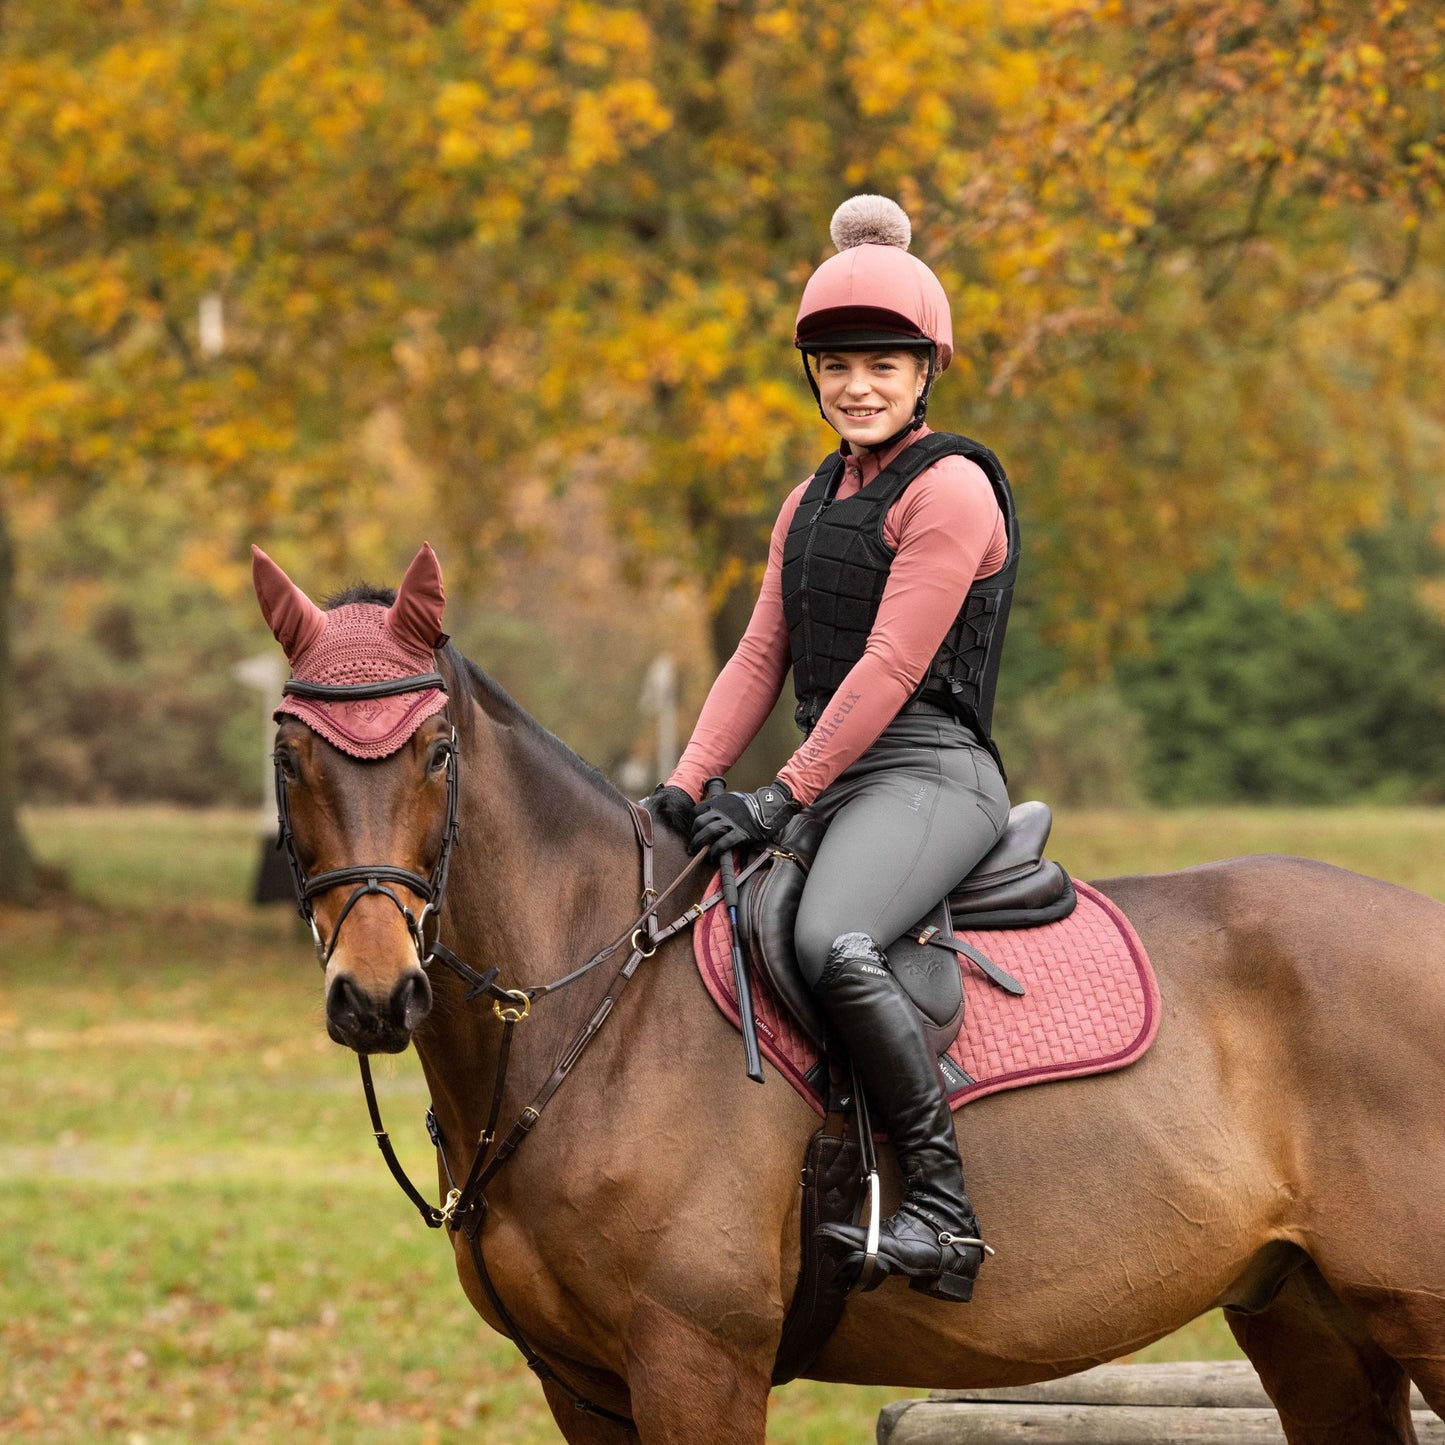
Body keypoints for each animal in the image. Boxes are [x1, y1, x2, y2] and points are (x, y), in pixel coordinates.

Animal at [265, 566, 1445, 1445]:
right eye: (288, 754)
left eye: (437, 751)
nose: (376, 993)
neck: (596, 1009)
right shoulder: (581, 1384)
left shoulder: (696, 1361)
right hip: (1308, 1322)